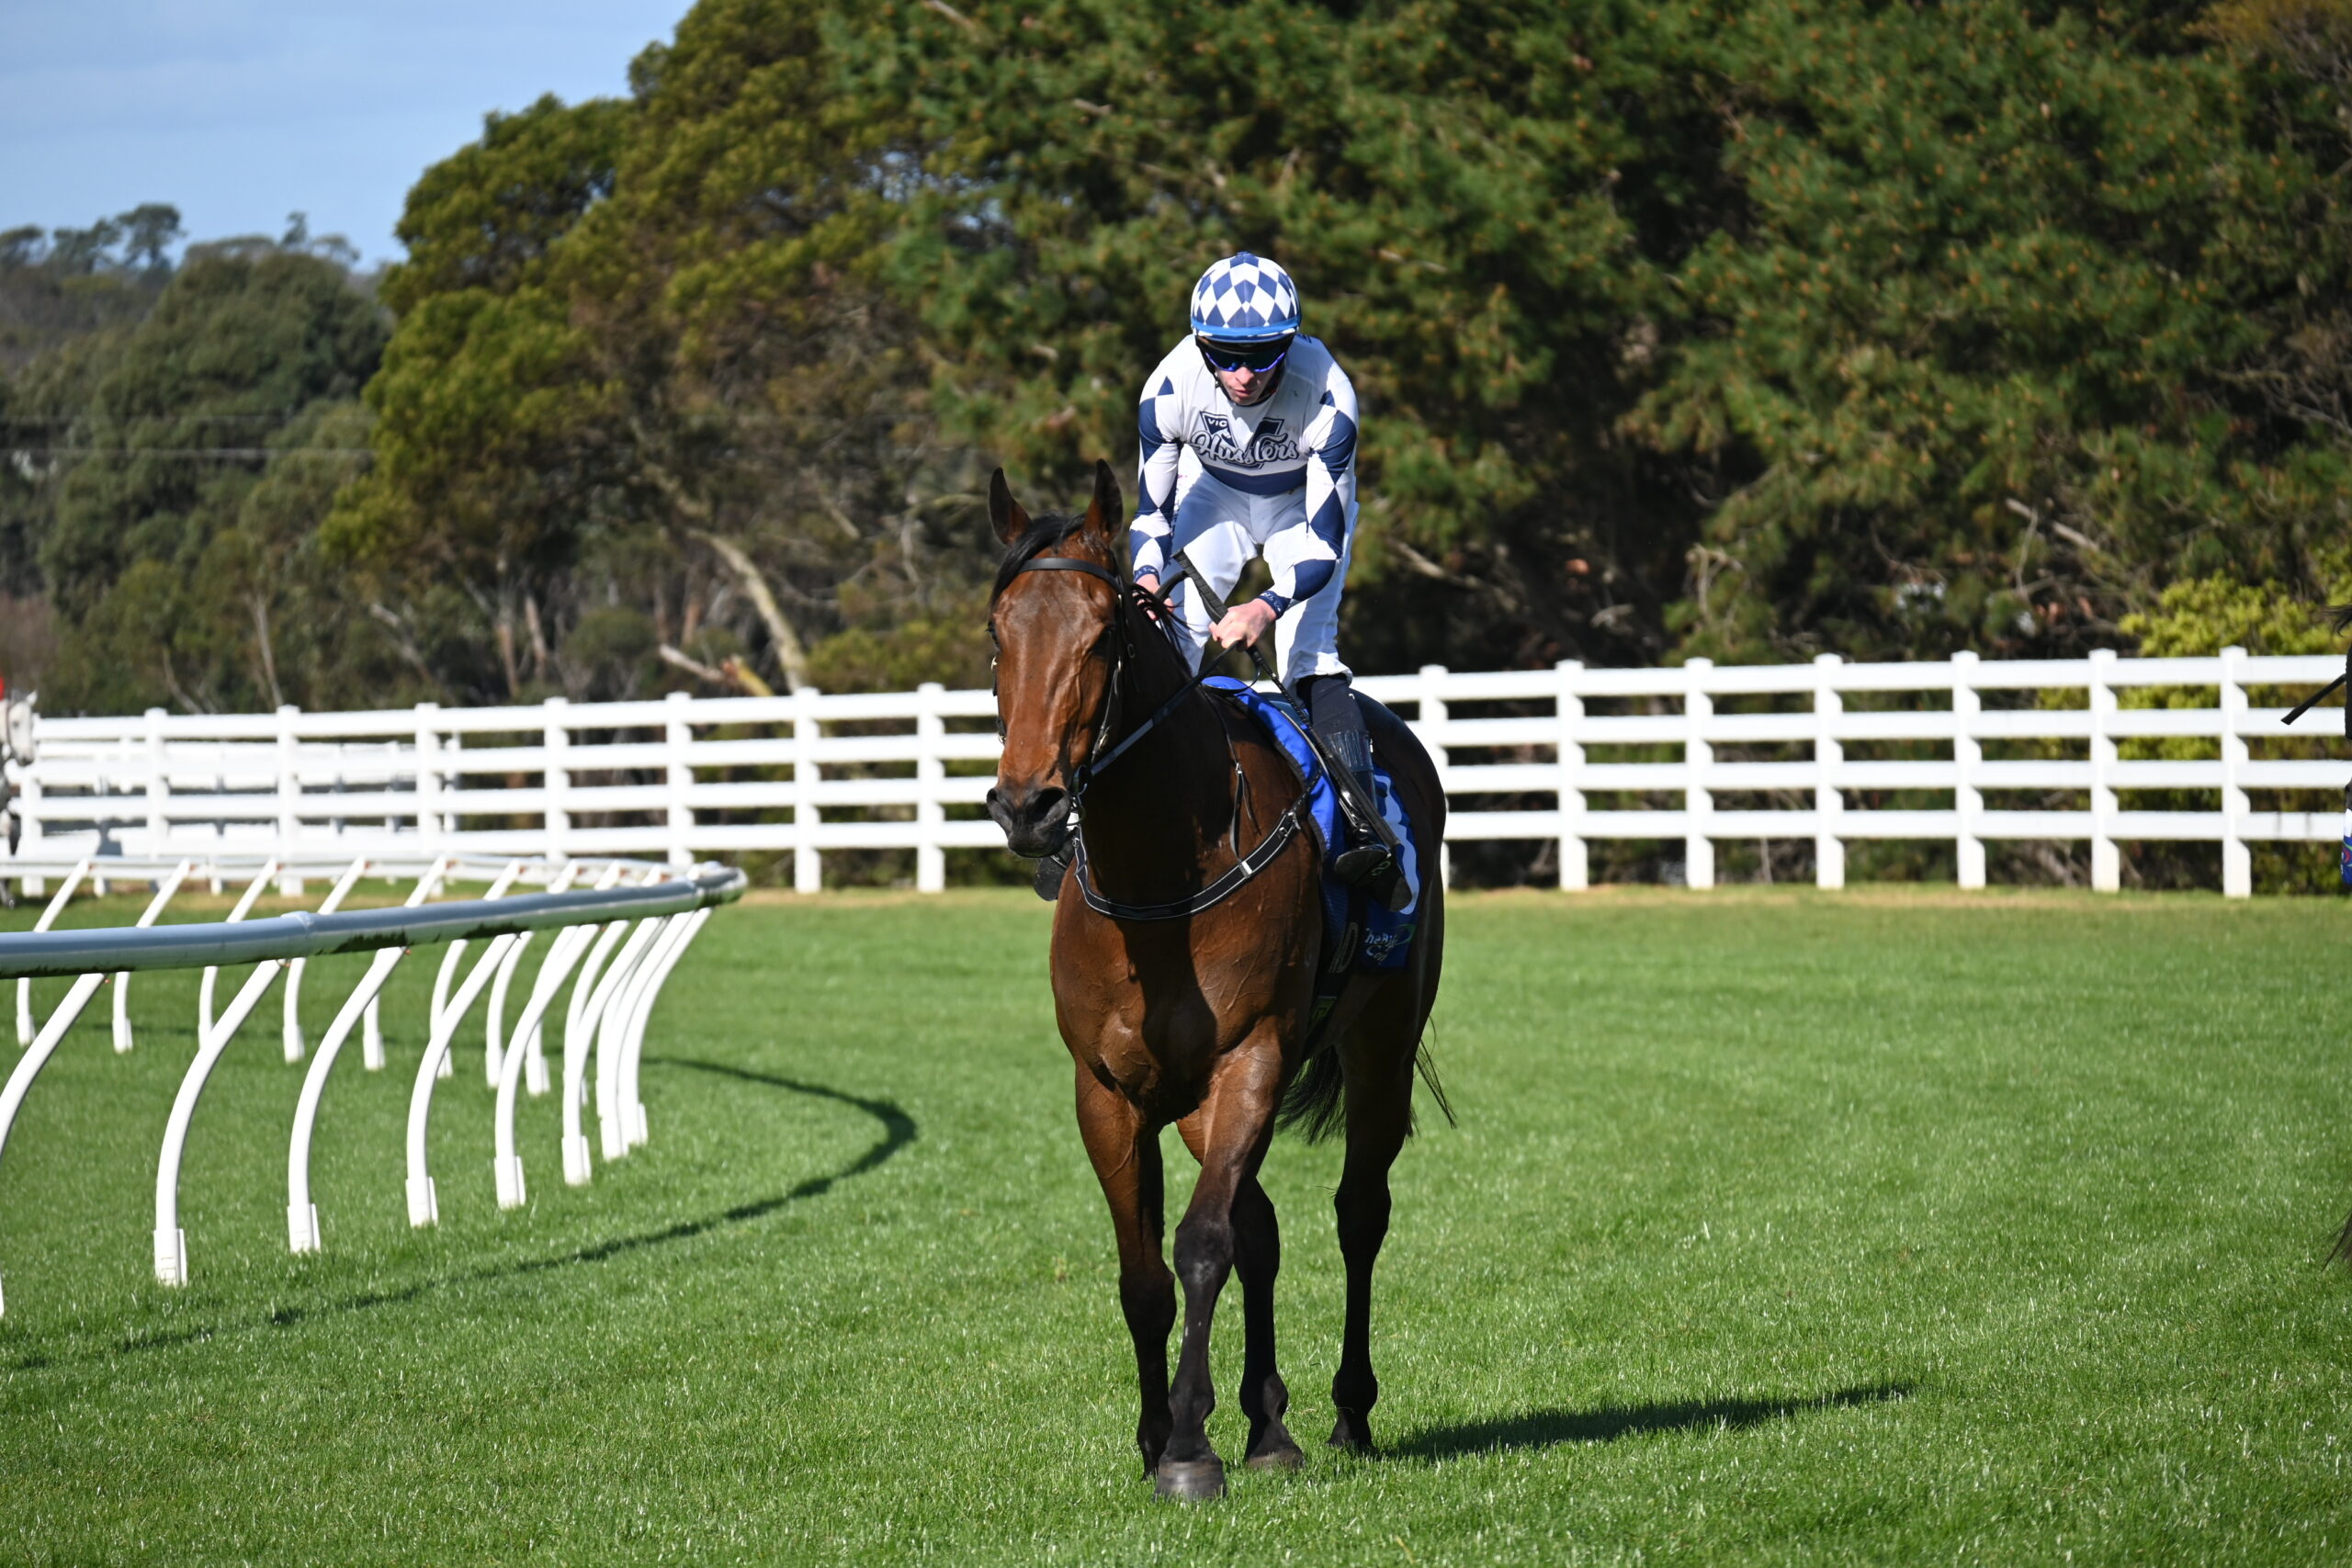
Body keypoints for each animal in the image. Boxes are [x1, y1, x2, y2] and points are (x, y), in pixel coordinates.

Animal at [984, 459, 1449, 1500]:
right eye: (996, 633)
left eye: (1101, 635)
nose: (1027, 806)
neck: (1163, 877)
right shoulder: (1110, 1091)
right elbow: (1146, 1275)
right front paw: (1159, 1433)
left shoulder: (1250, 1062)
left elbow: (1201, 1246)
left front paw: (1191, 1449)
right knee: (1261, 1225)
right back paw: (1269, 1424)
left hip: (1379, 1042)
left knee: (1357, 1213)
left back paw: (1349, 1411)